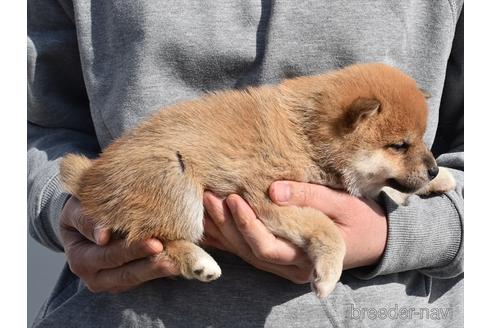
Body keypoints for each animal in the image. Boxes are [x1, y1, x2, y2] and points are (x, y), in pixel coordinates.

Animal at [59, 62, 456, 298]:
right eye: (399, 145)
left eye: (422, 140)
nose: (433, 169)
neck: (307, 137)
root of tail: (89, 178)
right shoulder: (269, 196)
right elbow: (327, 228)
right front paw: (328, 273)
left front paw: (441, 180)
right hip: (175, 181)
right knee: (160, 241)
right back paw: (200, 262)